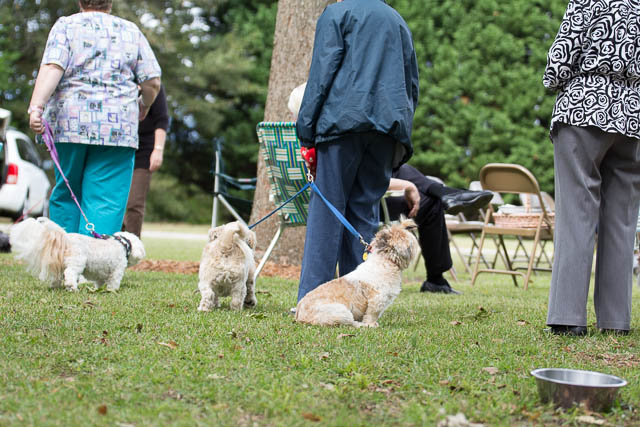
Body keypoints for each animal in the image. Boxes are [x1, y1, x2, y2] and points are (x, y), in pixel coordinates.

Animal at [9, 219, 145, 292]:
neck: (122, 244)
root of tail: (67, 238)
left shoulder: (101, 274)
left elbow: (99, 282)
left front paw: (97, 289)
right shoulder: (117, 271)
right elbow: (114, 282)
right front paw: (112, 291)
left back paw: (55, 286)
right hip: (78, 261)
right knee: (70, 273)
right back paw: (72, 287)